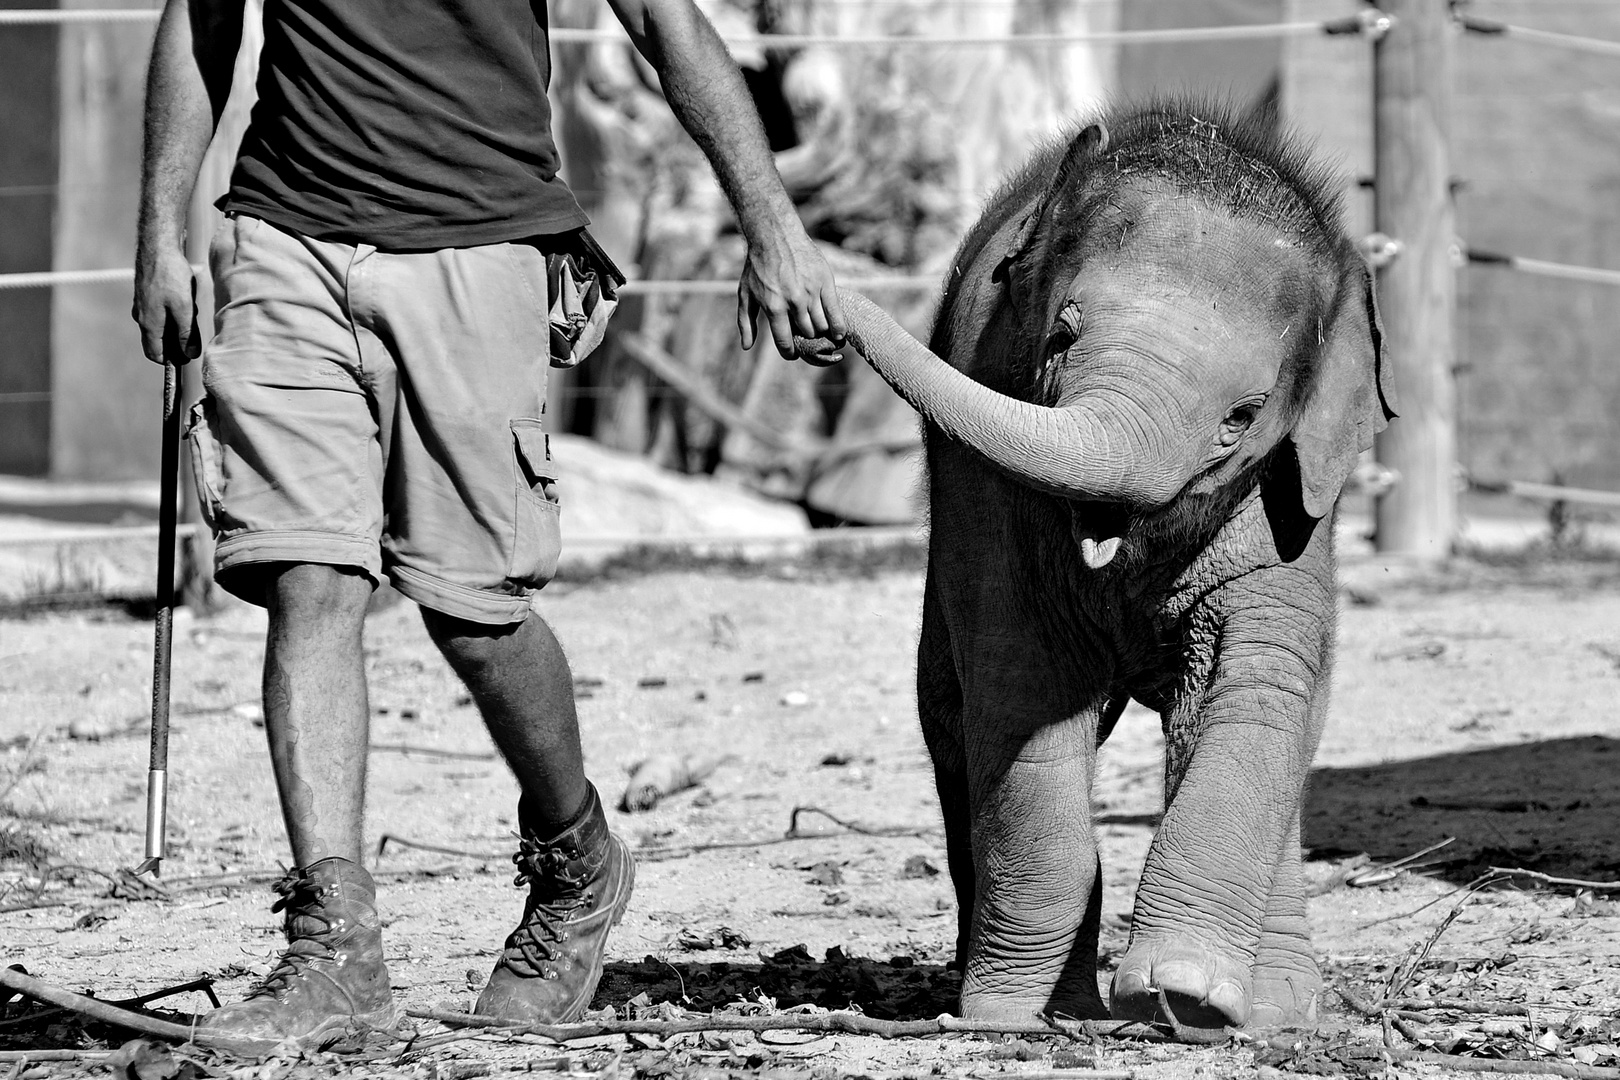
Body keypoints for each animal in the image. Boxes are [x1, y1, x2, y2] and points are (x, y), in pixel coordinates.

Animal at [803, 105, 1399, 1036]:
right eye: (1061, 336)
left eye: (1243, 417)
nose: (819, 306)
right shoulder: (982, 462)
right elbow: (1024, 684)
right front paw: (1018, 1015)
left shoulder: (1295, 498)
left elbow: (1254, 682)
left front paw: (1184, 992)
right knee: (953, 718)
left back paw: (1279, 1007)